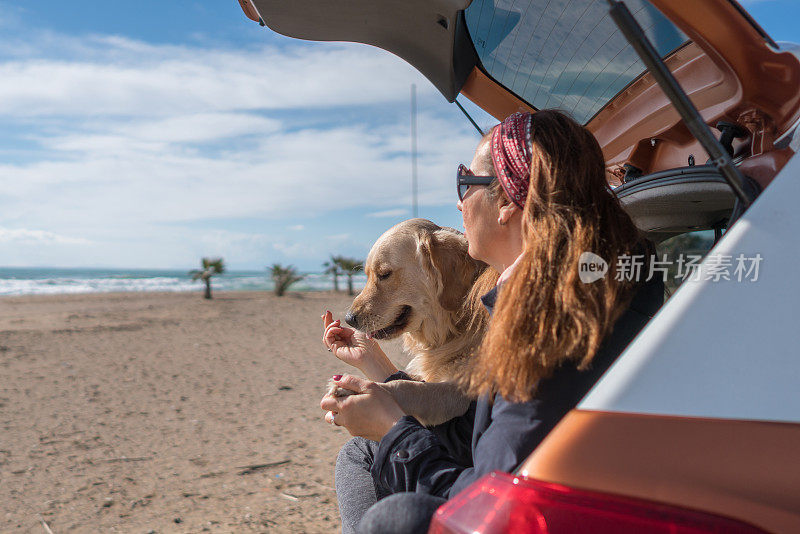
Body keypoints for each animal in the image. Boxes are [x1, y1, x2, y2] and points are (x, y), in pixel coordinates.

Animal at [330, 219, 494, 428]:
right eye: (367, 275)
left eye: (384, 274)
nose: (349, 319)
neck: (454, 327)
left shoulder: (459, 392)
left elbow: (405, 386)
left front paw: (355, 390)